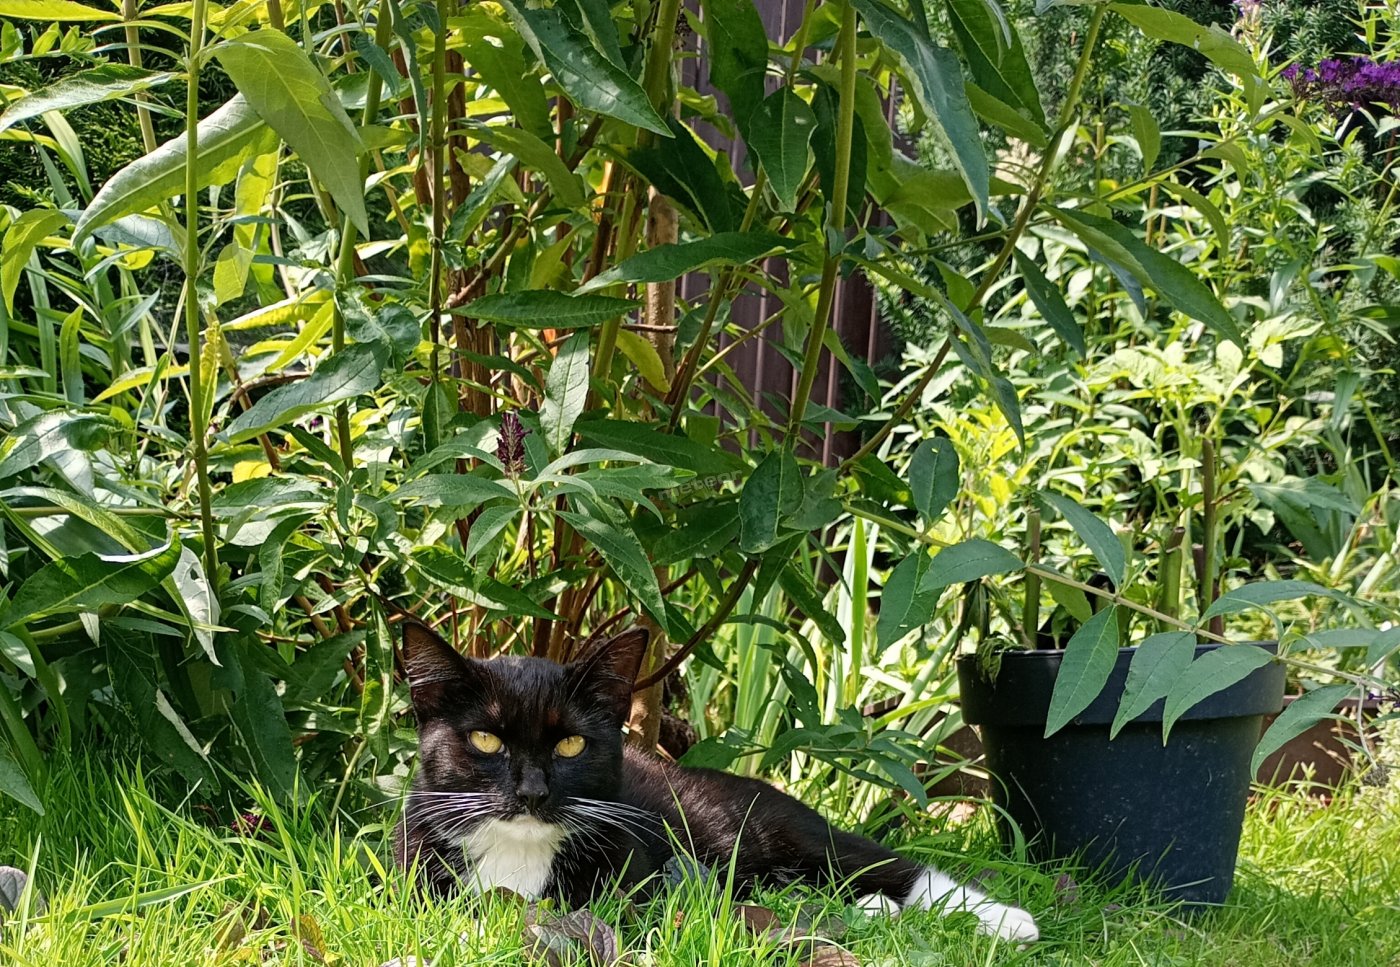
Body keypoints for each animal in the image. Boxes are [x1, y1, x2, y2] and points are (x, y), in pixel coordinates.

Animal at [393, 622, 1039, 942]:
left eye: (571, 744)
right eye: (486, 740)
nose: (532, 793)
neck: (519, 852)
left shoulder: (637, 881)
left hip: (790, 830)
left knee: (891, 865)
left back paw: (1006, 920)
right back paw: (874, 910)